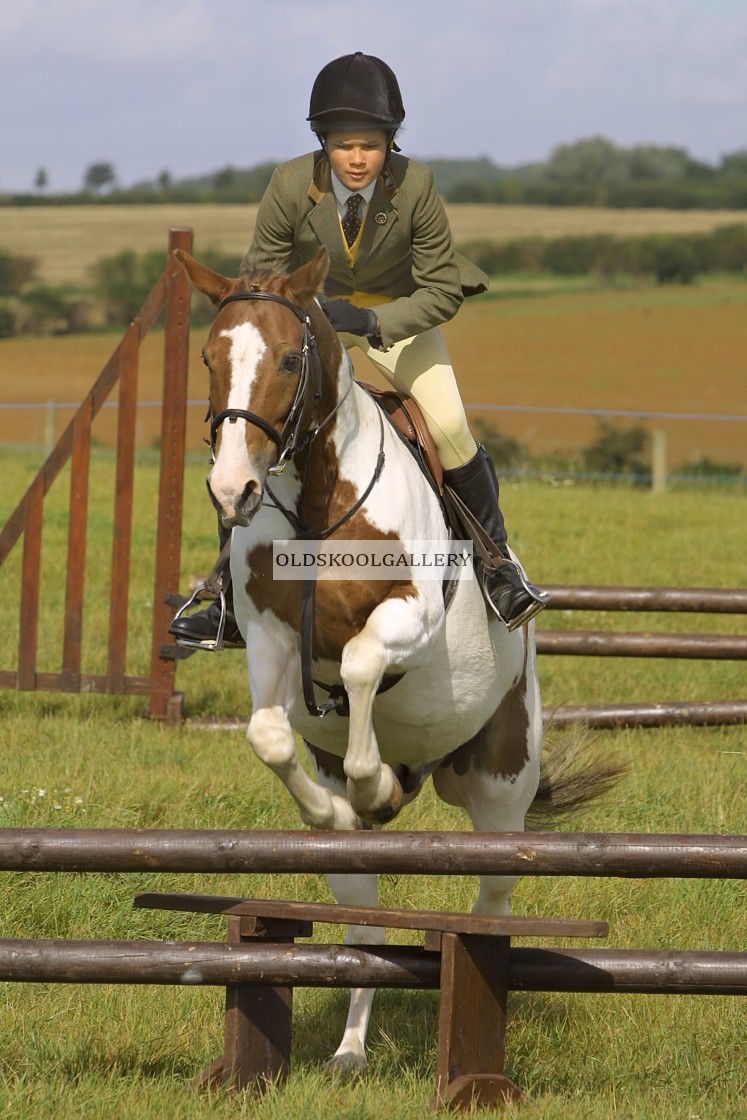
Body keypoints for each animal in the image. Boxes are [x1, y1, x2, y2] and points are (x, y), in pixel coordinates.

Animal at [175, 249, 618, 1070]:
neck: (318, 502)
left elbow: (357, 665)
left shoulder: (409, 617)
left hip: (502, 787)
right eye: (209, 359)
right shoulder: (270, 638)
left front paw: (372, 780)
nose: (232, 490)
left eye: (290, 359)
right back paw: (349, 1049)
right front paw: (337, 802)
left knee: (491, 902)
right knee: (363, 928)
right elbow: (270, 733)